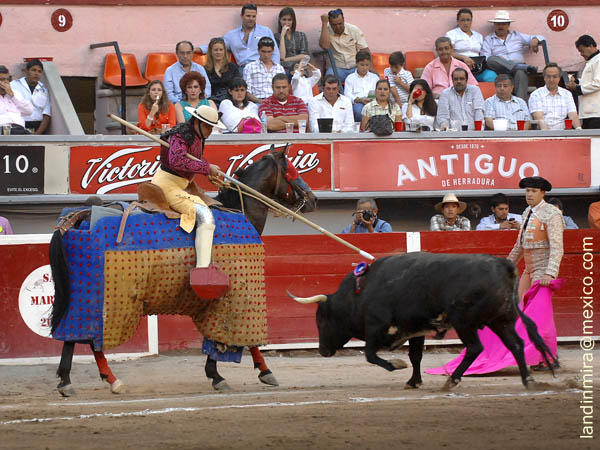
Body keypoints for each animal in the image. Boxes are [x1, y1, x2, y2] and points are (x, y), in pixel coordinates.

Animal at [50, 144, 318, 394]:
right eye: (292, 169)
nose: (313, 199)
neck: (240, 210)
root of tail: (81, 216)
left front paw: (218, 374)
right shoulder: (238, 296)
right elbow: (243, 338)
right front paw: (258, 372)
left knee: (85, 338)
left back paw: (105, 379)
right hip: (102, 300)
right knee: (80, 336)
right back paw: (73, 381)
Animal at [288, 251, 556, 388]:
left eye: (322, 320)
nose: (323, 351)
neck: (360, 292)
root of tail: (503, 266)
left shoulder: (376, 326)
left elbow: (371, 355)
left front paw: (396, 366)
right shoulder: (415, 330)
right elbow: (415, 356)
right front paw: (413, 381)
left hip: (465, 322)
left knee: (475, 348)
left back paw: (453, 379)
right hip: (500, 320)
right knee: (516, 344)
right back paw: (527, 379)